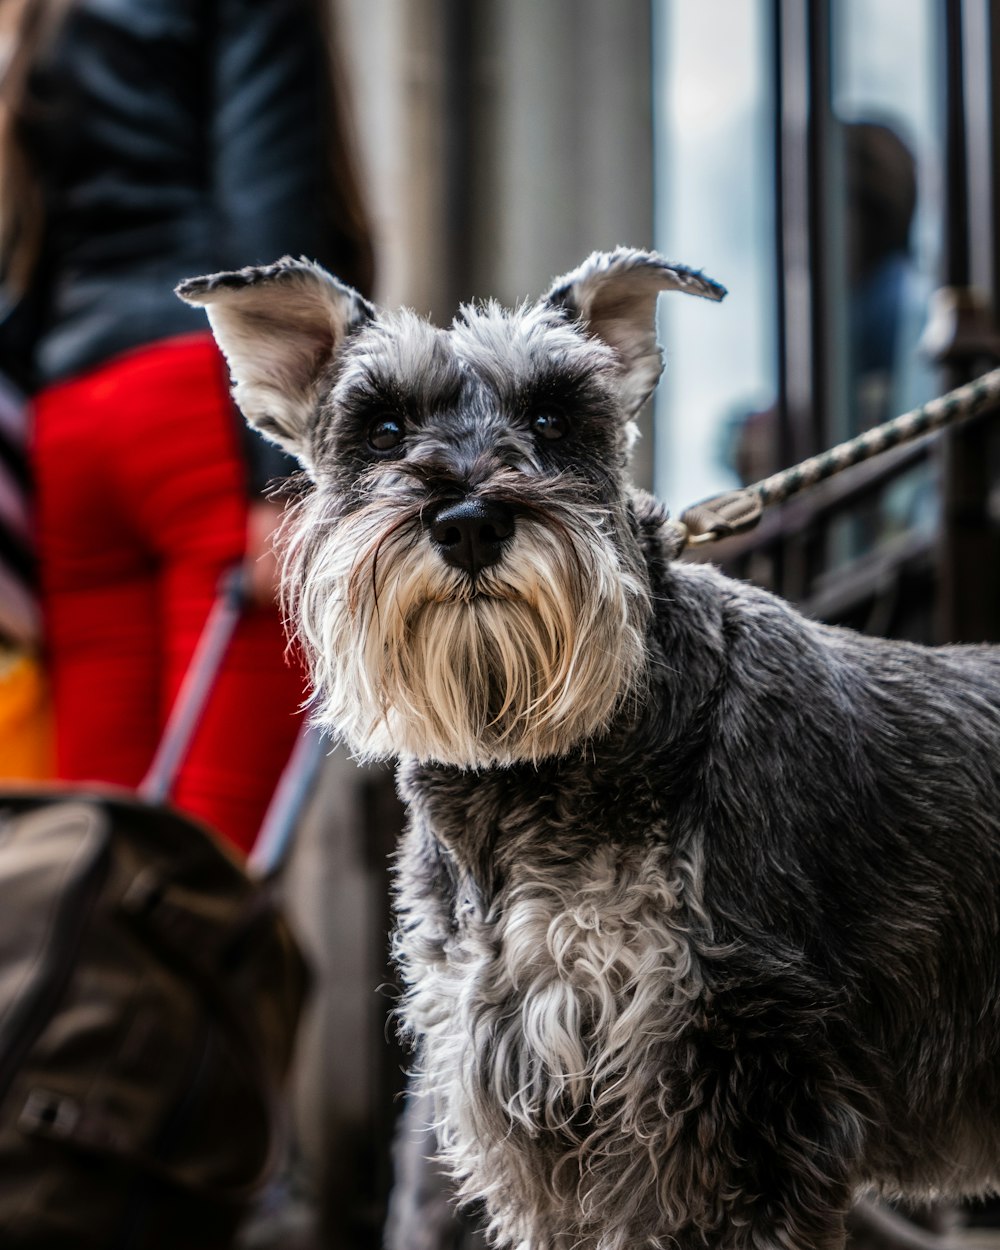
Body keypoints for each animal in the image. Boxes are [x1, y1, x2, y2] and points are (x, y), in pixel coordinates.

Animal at [177, 253, 1000, 1250]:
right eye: (383, 427)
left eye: (552, 417)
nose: (469, 522)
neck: (531, 770)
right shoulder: (531, 1105)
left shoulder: (734, 1086)